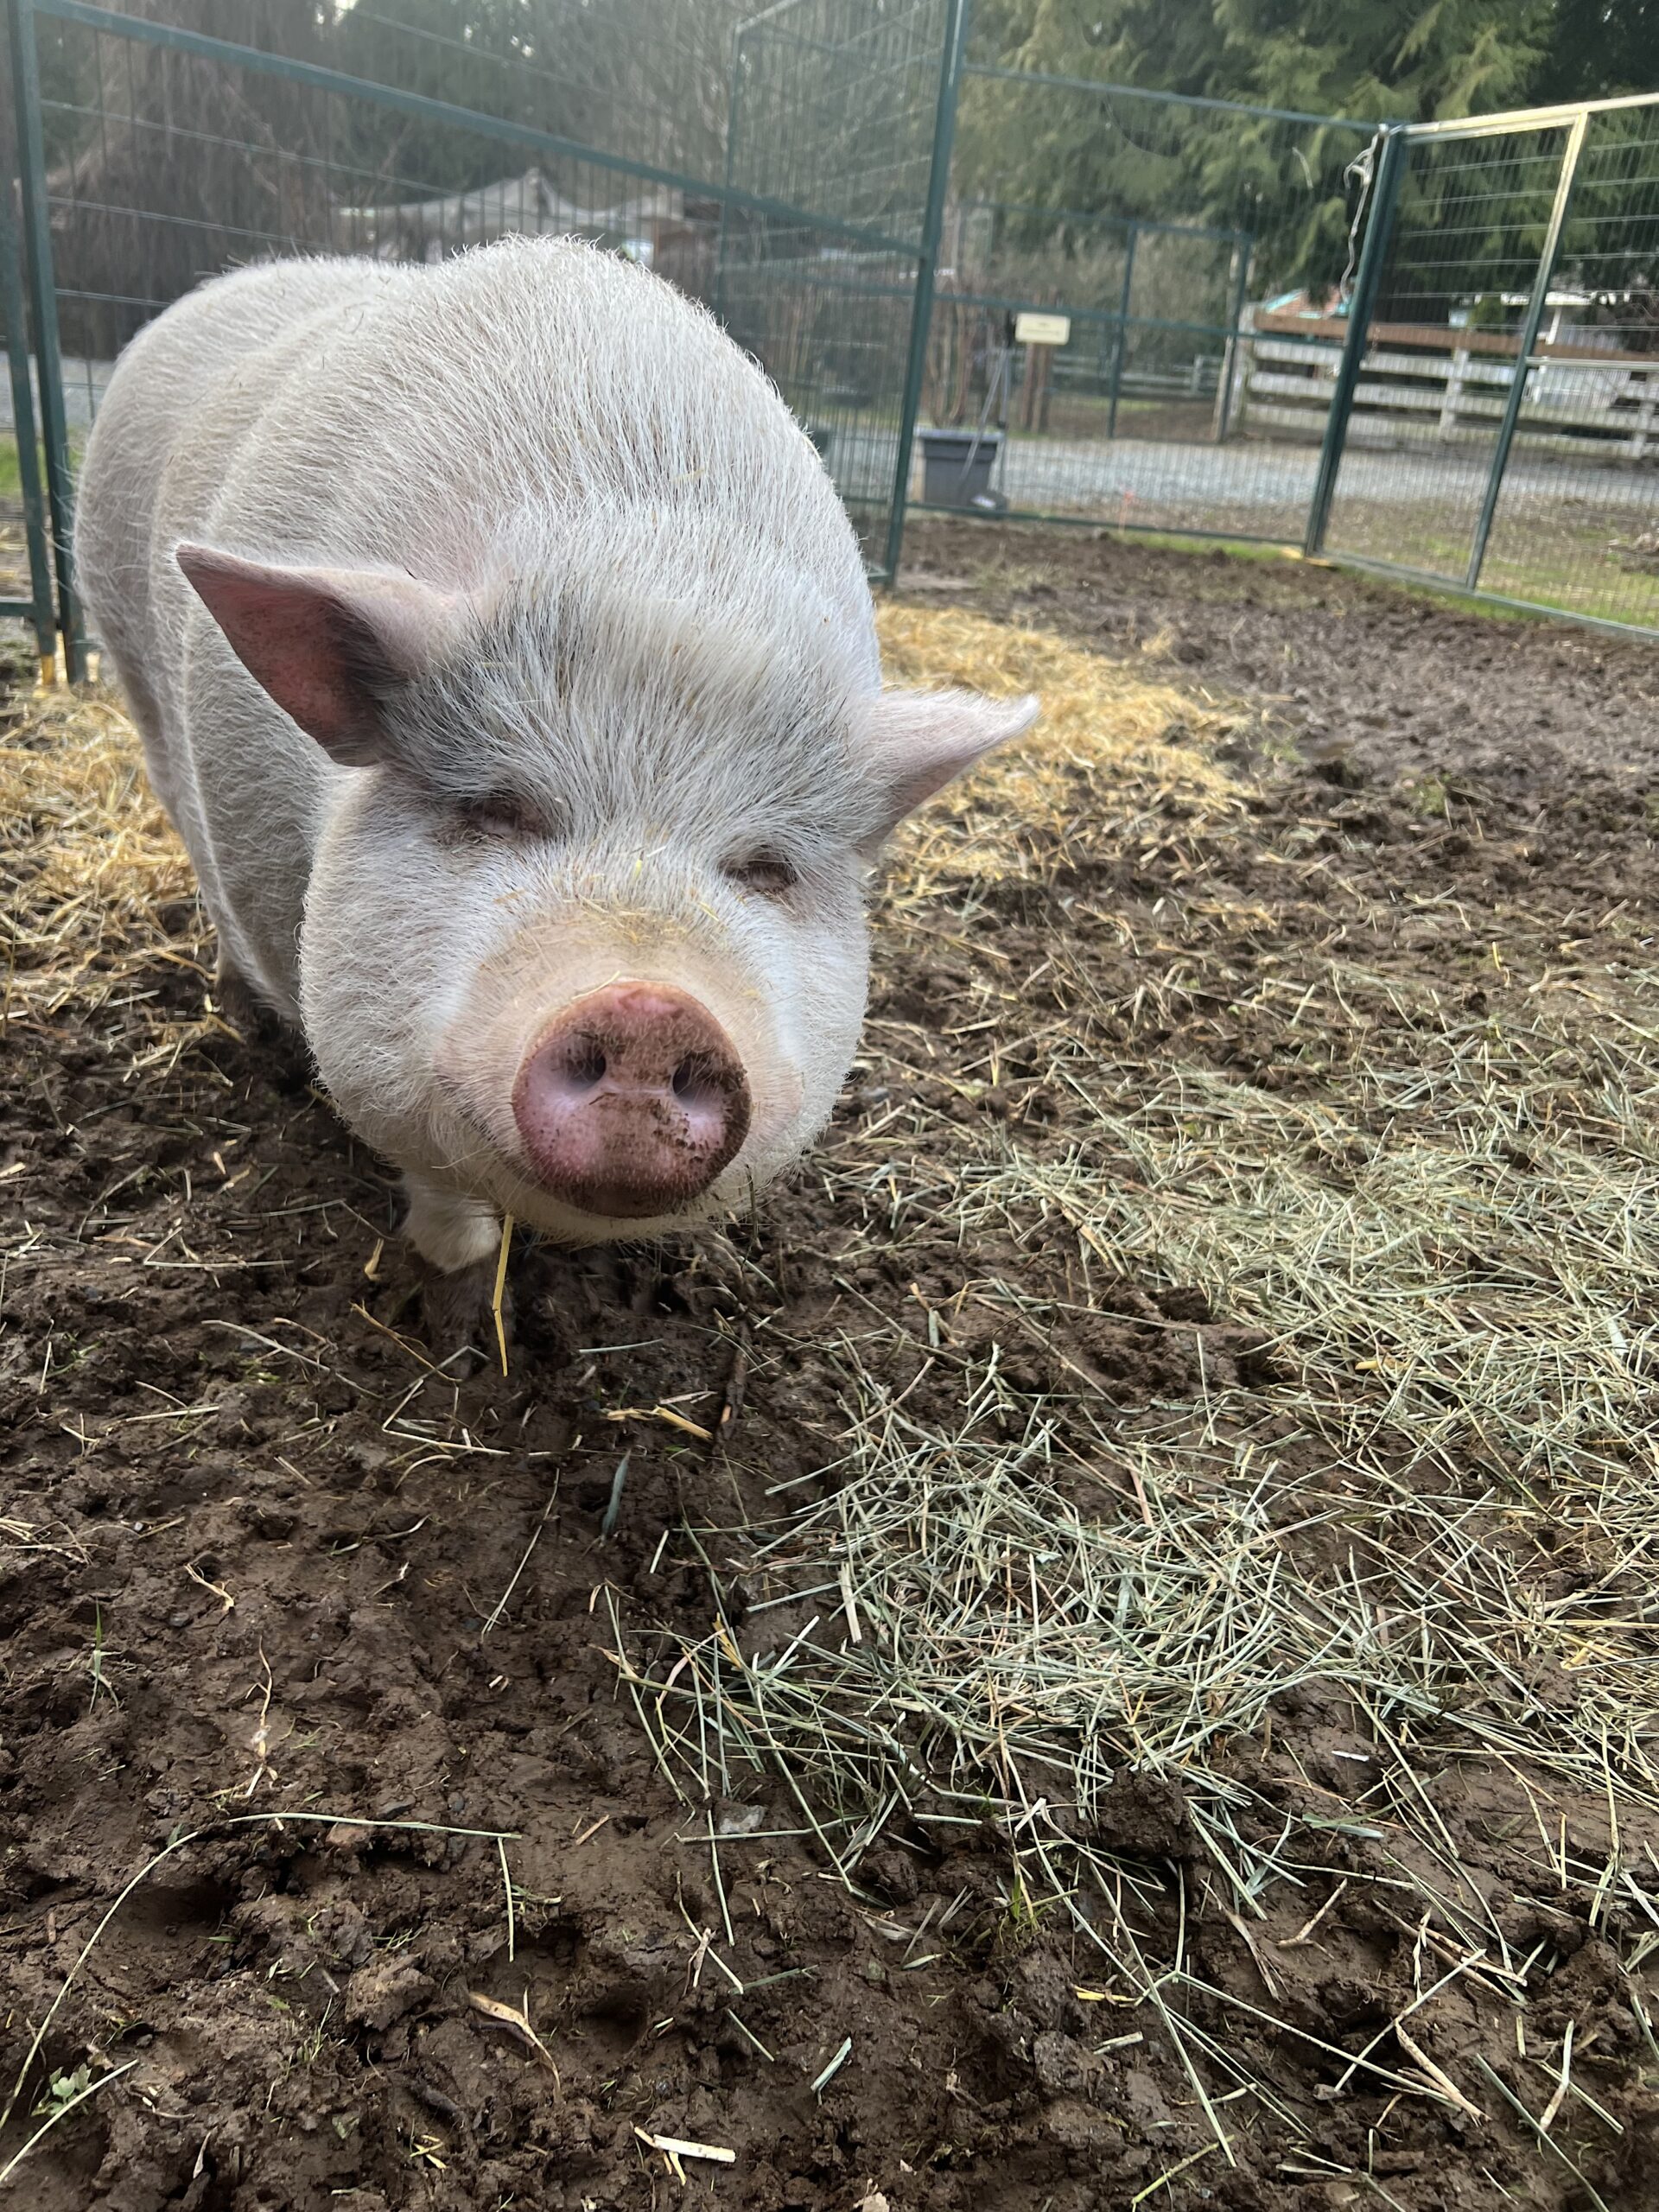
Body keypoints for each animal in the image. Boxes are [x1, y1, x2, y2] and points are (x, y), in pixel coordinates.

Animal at [73, 237, 1036, 1349]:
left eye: (766, 866)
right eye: (498, 806)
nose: (651, 1010)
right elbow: (429, 1171)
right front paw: (454, 1306)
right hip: (132, 675)